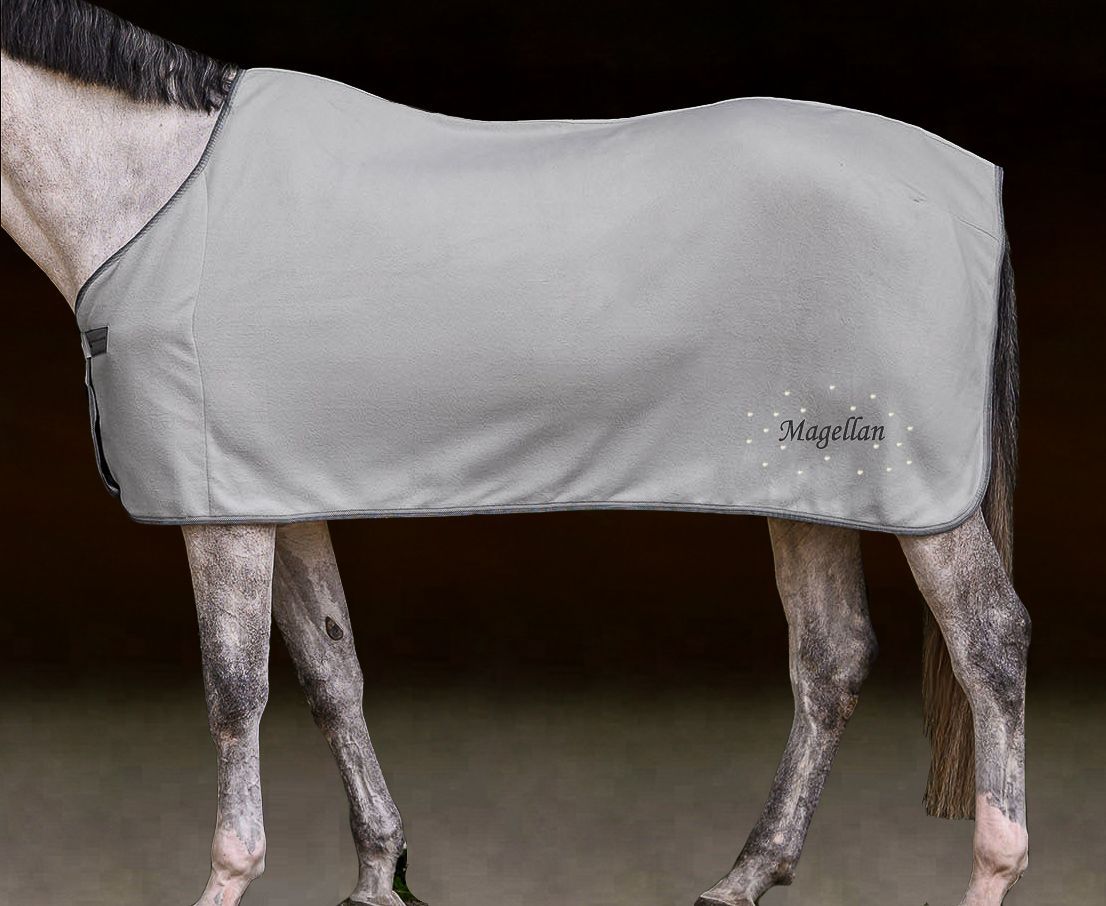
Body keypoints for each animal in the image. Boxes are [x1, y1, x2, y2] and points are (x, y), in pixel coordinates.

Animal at [0, 2, 1030, 905]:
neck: (153, 192)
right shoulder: (273, 494)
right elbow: (332, 673)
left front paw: (234, 877)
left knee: (990, 640)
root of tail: (973, 183)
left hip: (912, 489)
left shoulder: (224, 514)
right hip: (805, 479)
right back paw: (745, 875)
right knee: (831, 657)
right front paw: (380, 874)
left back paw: (992, 867)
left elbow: (234, 692)